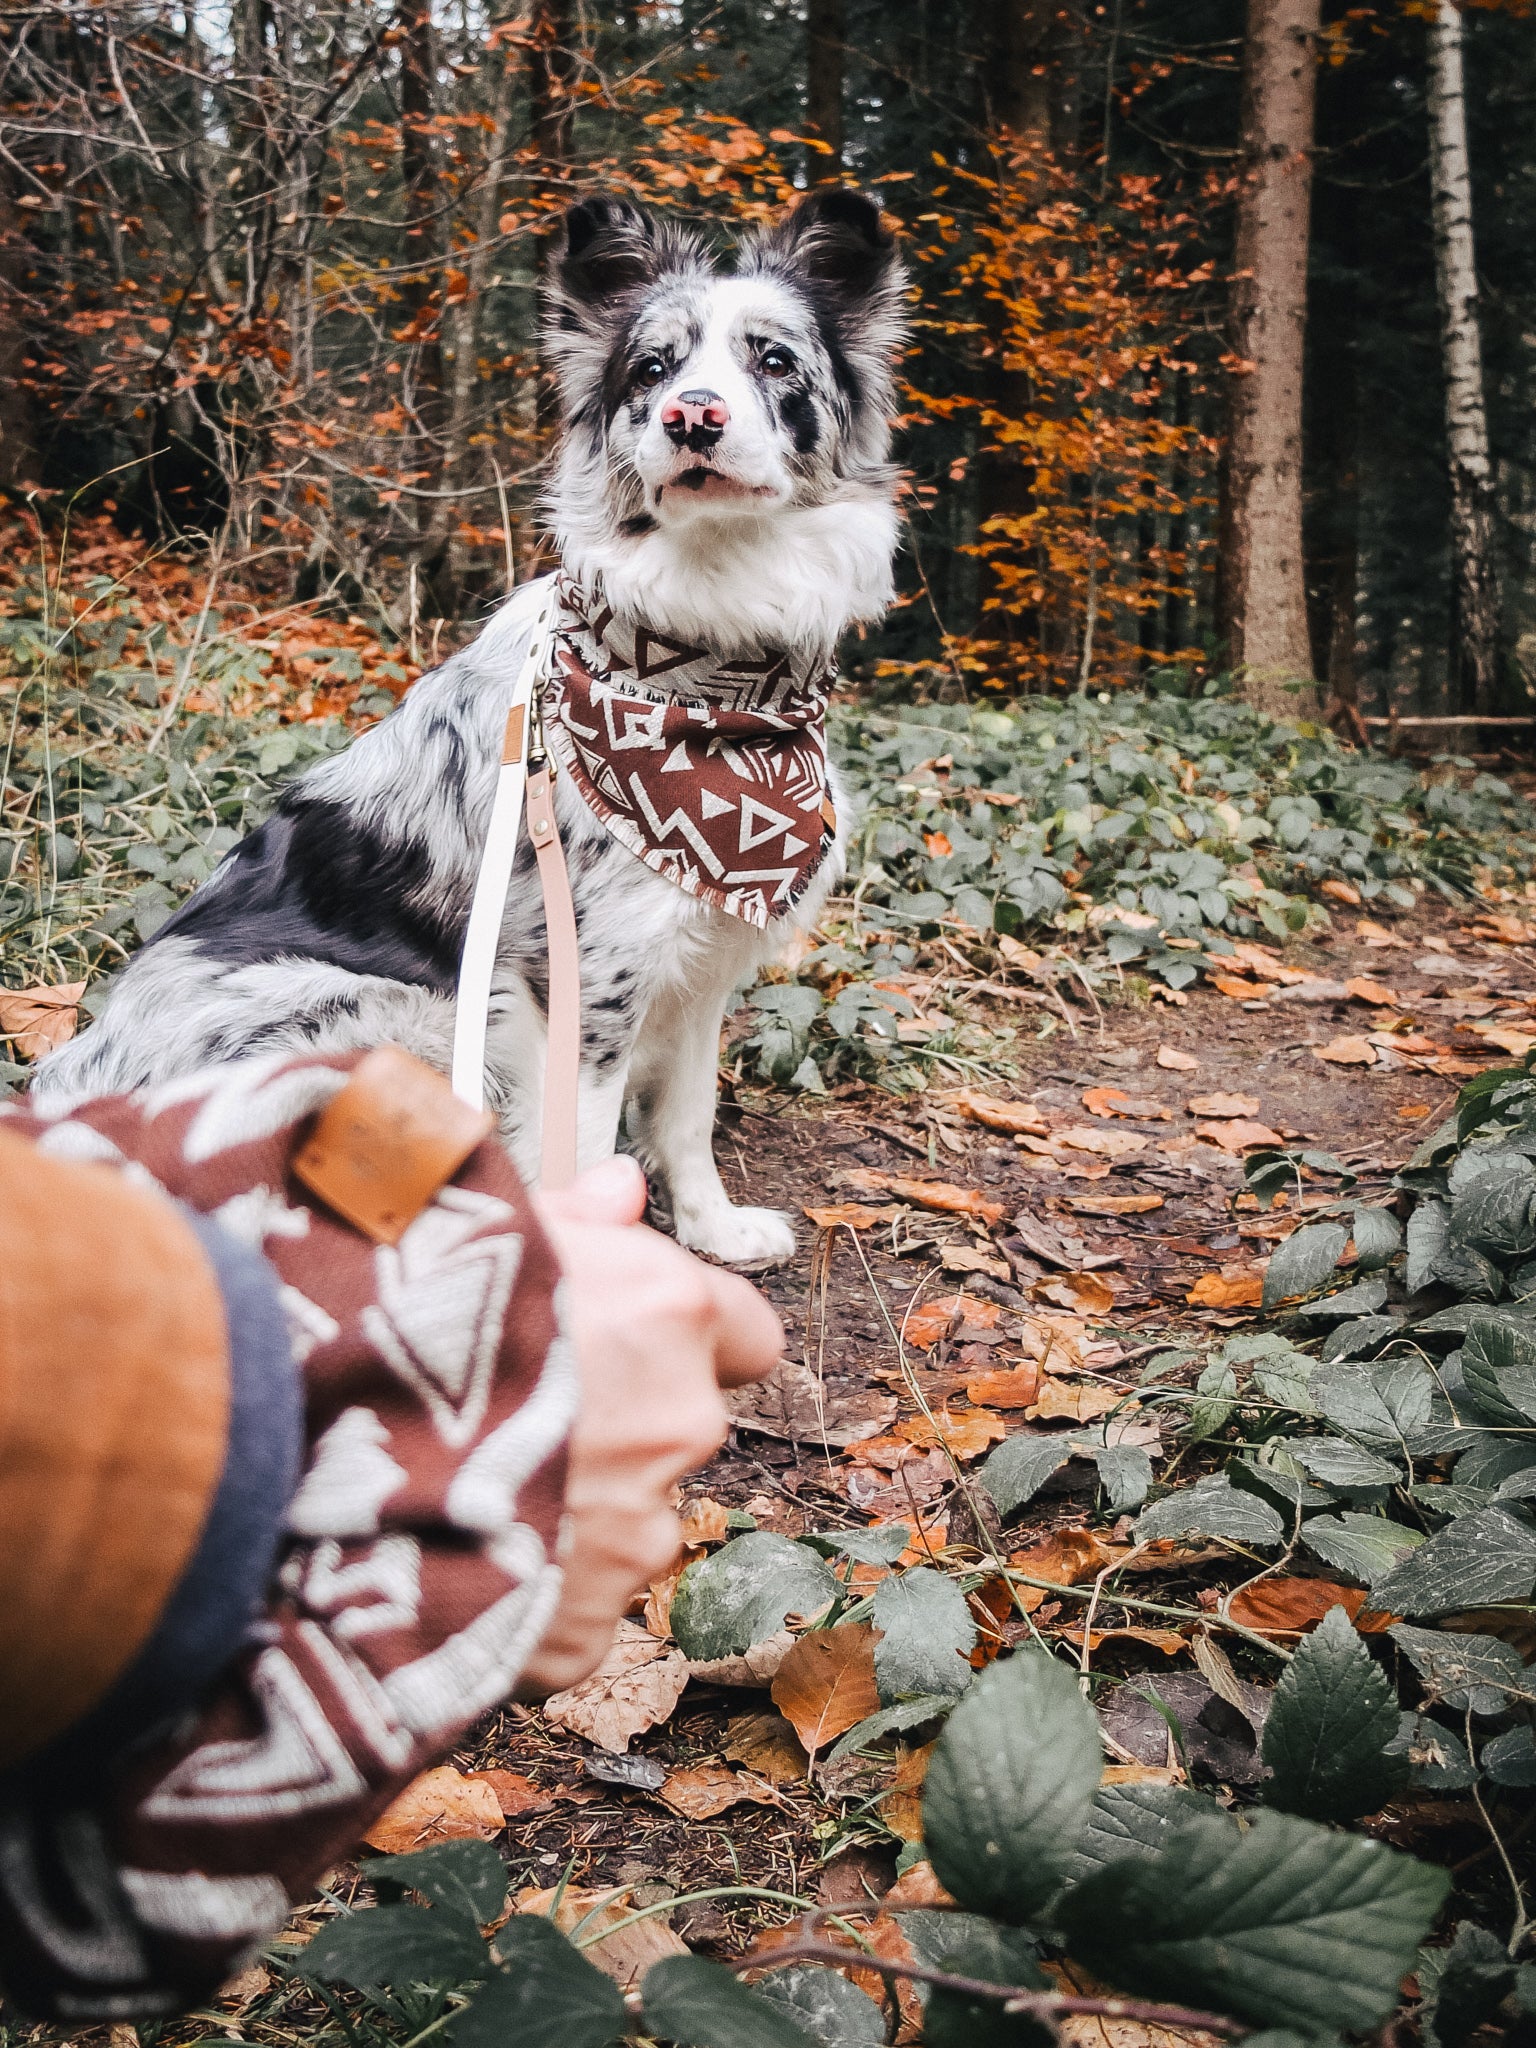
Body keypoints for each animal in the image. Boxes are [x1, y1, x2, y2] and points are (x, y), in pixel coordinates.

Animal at [30, 188, 909, 1261]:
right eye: (651, 370)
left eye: (774, 360)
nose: (691, 417)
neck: (713, 669)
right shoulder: (583, 977)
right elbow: (585, 1141)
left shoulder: (697, 963)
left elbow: (687, 1114)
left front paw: (712, 1230)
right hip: (372, 1016)